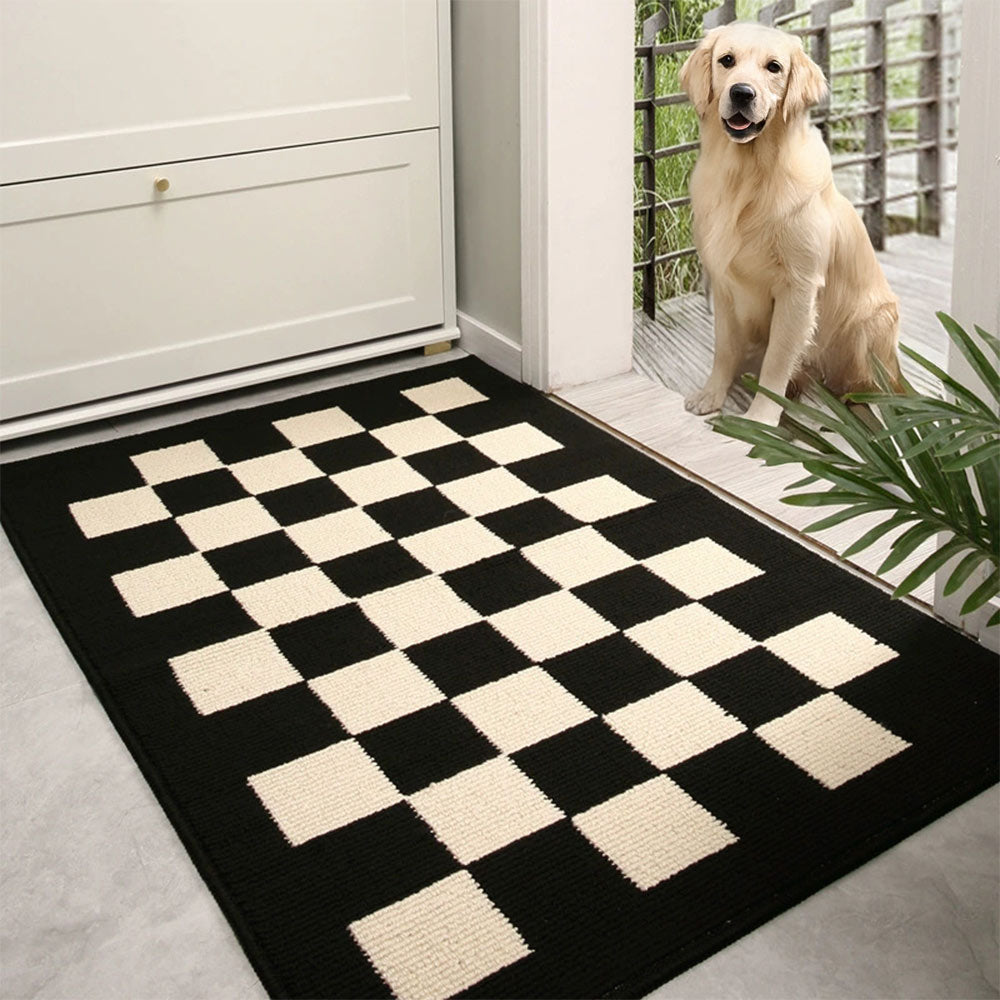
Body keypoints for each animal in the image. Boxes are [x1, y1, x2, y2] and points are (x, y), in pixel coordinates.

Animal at [680, 21, 900, 422]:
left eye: (774, 67)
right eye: (726, 60)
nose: (741, 93)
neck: (747, 176)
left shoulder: (797, 289)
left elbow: (777, 361)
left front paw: (759, 420)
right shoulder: (722, 282)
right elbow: (724, 347)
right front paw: (711, 394)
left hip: (873, 322)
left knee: (868, 385)